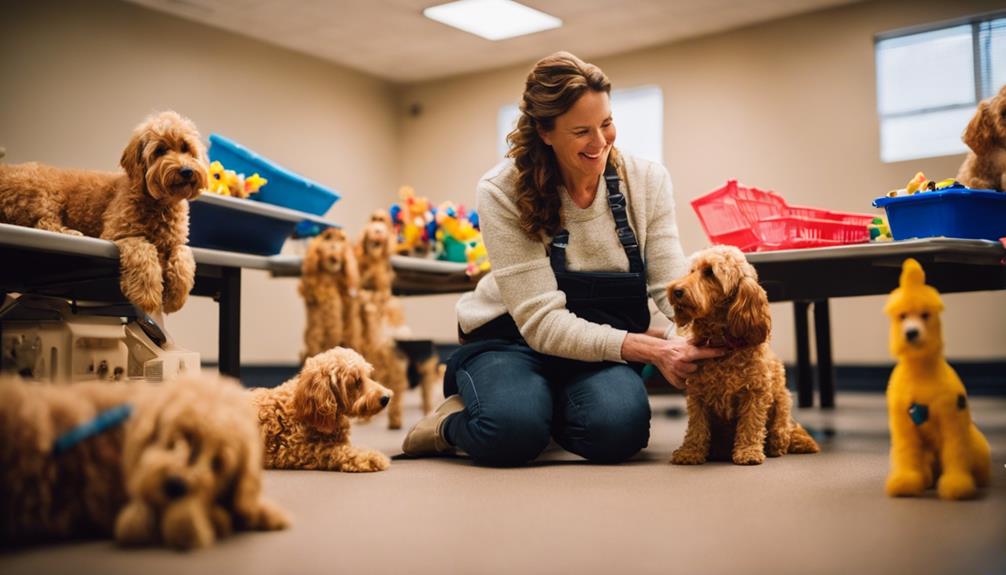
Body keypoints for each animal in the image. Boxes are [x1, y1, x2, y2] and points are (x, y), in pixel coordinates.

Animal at [0, 111, 208, 313]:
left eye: (185, 147)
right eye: (160, 150)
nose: (187, 171)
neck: (160, 203)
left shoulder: (176, 242)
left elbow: (184, 255)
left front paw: (175, 298)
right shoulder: (119, 233)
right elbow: (143, 251)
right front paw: (147, 296)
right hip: (44, 191)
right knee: (43, 223)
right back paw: (72, 233)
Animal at [251, 345, 392, 472]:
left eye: (367, 376)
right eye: (356, 381)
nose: (386, 398)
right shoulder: (298, 451)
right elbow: (338, 452)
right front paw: (371, 458)